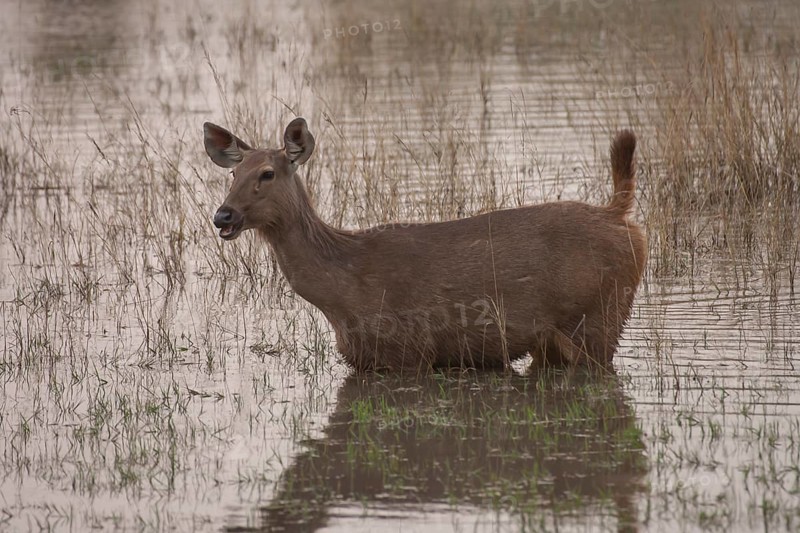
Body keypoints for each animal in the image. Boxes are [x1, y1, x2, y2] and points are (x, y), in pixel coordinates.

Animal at [205, 118, 646, 373]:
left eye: (266, 173)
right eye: (233, 174)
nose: (223, 216)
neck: (343, 289)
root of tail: (618, 215)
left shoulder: (409, 349)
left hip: (598, 316)